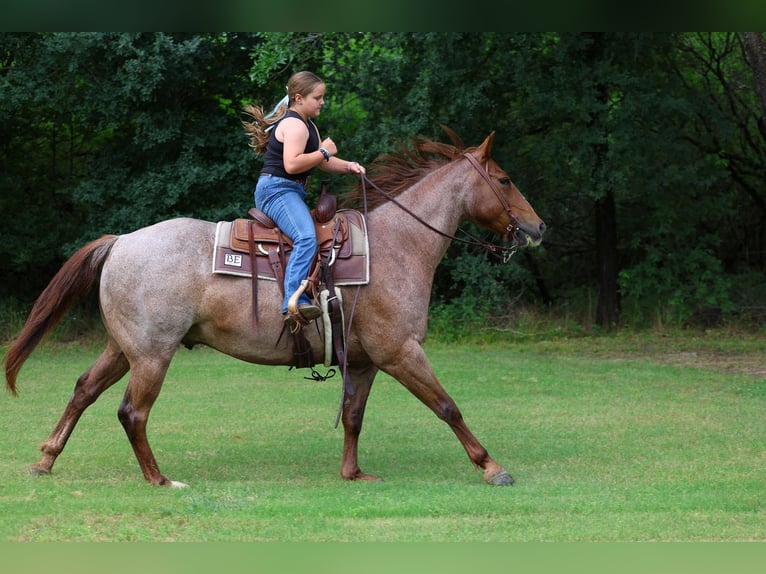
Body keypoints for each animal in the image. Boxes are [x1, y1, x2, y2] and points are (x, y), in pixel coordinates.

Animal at [4, 129, 545, 487]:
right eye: (504, 179)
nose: (538, 227)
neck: (398, 245)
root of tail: (120, 242)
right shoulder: (401, 352)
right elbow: (447, 405)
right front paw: (492, 467)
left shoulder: (366, 360)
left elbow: (353, 415)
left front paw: (352, 472)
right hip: (152, 355)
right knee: (132, 412)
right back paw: (160, 480)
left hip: (124, 349)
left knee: (84, 390)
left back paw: (46, 459)